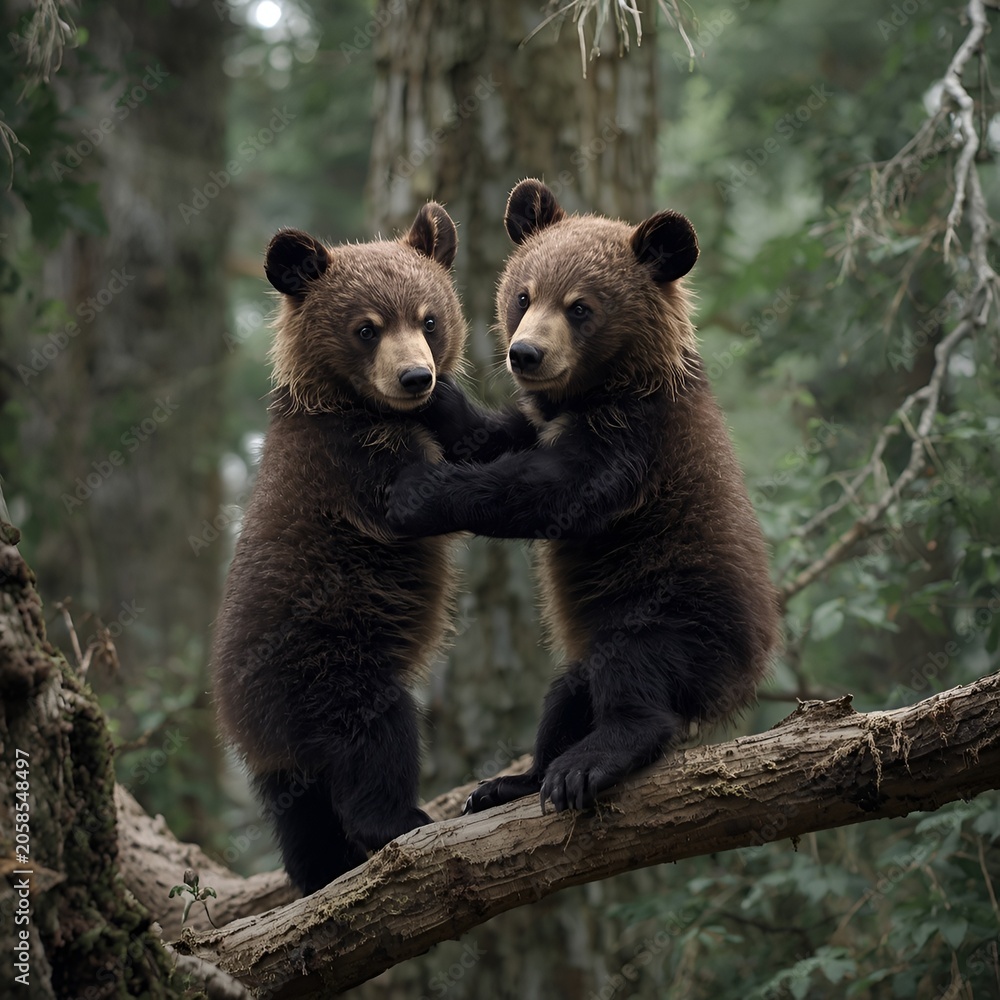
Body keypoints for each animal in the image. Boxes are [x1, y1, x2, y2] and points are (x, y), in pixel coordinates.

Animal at [212, 203, 466, 894]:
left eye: (428, 318)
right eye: (366, 328)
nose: (416, 376)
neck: (356, 404)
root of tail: (244, 721)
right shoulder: (349, 465)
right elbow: (423, 499)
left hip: (282, 761)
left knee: (303, 821)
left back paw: (321, 870)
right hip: (329, 657)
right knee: (373, 738)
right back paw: (399, 819)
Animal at [387, 178, 781, 814]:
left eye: (580, 307)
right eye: (523, 295)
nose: (526, 354)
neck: (593, 393)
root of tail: (739, 680)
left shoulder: (638, 441)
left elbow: (555, 490)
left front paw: (416, 493)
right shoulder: (541, 422)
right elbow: (494, 439)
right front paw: (438, 397)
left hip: (676, 610)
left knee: (634, 669)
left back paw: (586, 763)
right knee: (567, 694)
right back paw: (511, 781)